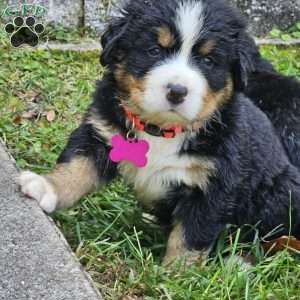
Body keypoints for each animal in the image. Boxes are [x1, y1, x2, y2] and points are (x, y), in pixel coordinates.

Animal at [19, 0, 300, 264]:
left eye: (208, 61)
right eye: (154, 51)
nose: (177, 91)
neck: (161, 130)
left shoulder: (215, 183)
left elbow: (190, 235)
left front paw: (177, 273)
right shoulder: (100, 133)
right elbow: (75, 168)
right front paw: (46, 187)